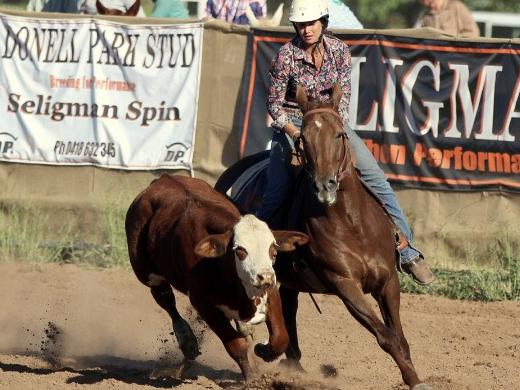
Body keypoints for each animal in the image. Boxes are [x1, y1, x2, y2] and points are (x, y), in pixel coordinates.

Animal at [215, 86, 430, 390]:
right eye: (303, 138)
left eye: (340, 134)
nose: (324, 186)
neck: (353, 224)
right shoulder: (344, 283)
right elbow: (386, 336)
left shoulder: (388, 281)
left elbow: (398, 335)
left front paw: (414, 379)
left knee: (289, 310)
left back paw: (292, 365)